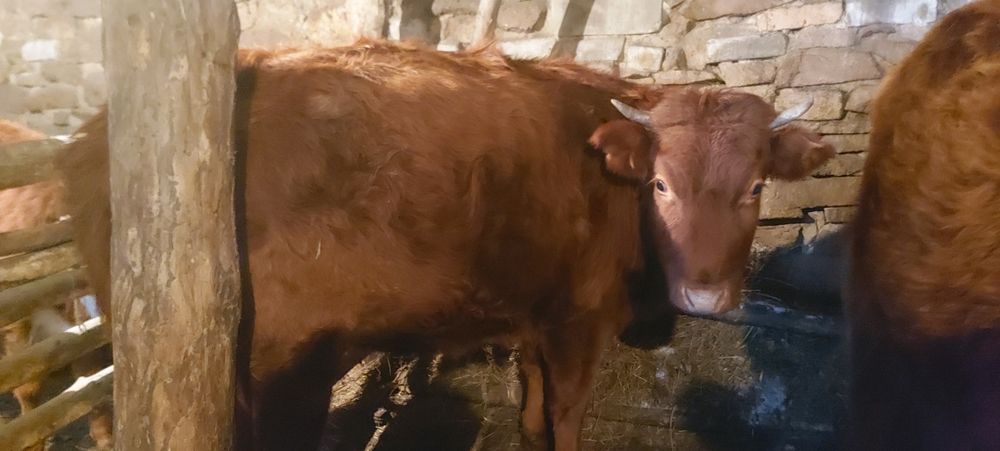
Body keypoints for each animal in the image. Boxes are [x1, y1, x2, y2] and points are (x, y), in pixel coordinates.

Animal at [55, 39, 834, 451]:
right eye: (662, 184)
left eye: (757, 186)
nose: (704, 293)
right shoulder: (578, 319)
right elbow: (566, 412)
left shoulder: (535, 316)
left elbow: (532, 410)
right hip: (277, 366)